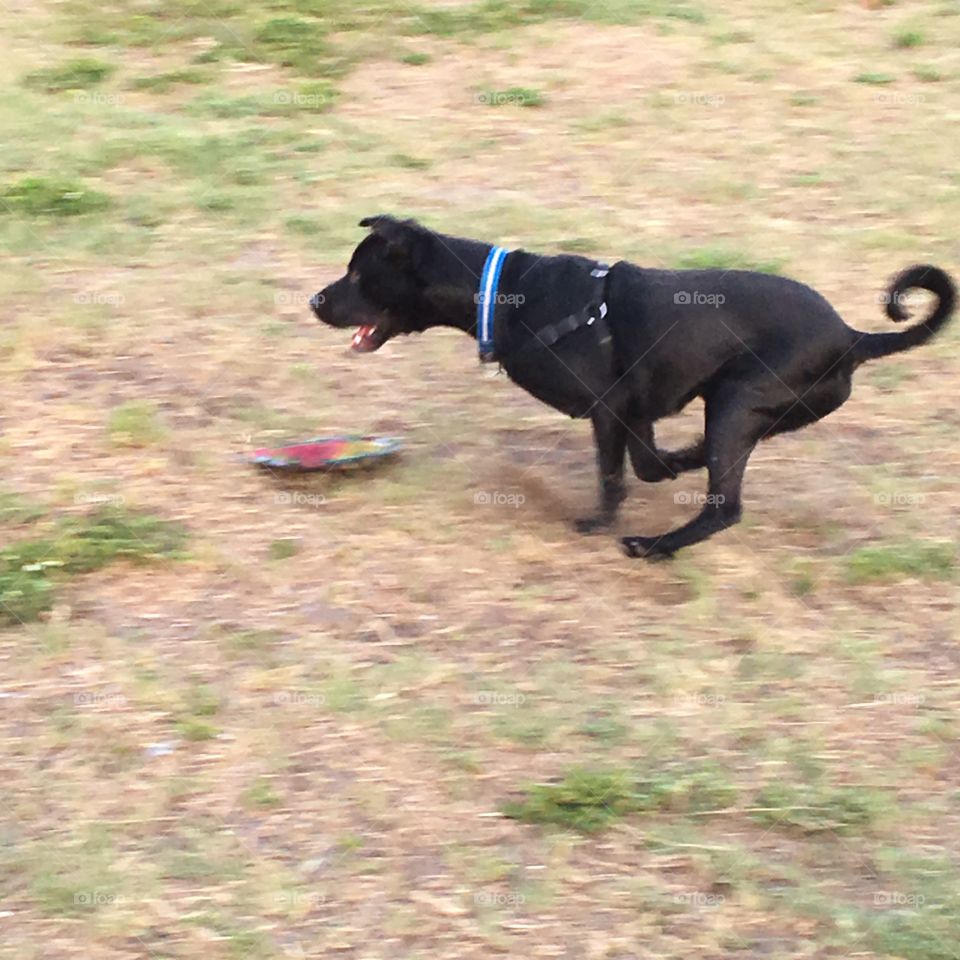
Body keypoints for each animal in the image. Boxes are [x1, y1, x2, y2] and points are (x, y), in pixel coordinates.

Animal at [314, 217, 952, 560]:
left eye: (358, 275)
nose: (314, 301)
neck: (503, 294)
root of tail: (852, 336)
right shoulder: (634, 406)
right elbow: (646, 464)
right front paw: (676, 461)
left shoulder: (606, 407)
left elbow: (614, 475)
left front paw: (598, 523)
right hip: (743, 406)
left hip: (734, 401)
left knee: (726, 508)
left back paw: (654, 546)